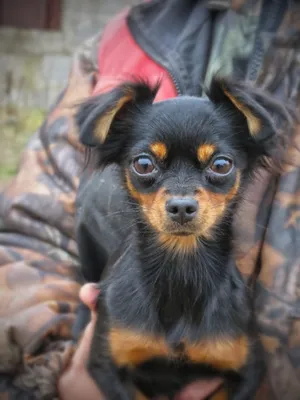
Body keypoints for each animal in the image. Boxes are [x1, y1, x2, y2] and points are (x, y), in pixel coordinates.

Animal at [75, 78, 292, 400]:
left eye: (221, 165)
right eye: (143, 164)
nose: (181, 206)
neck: (181, 264)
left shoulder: (247, 369)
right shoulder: (107, 365)